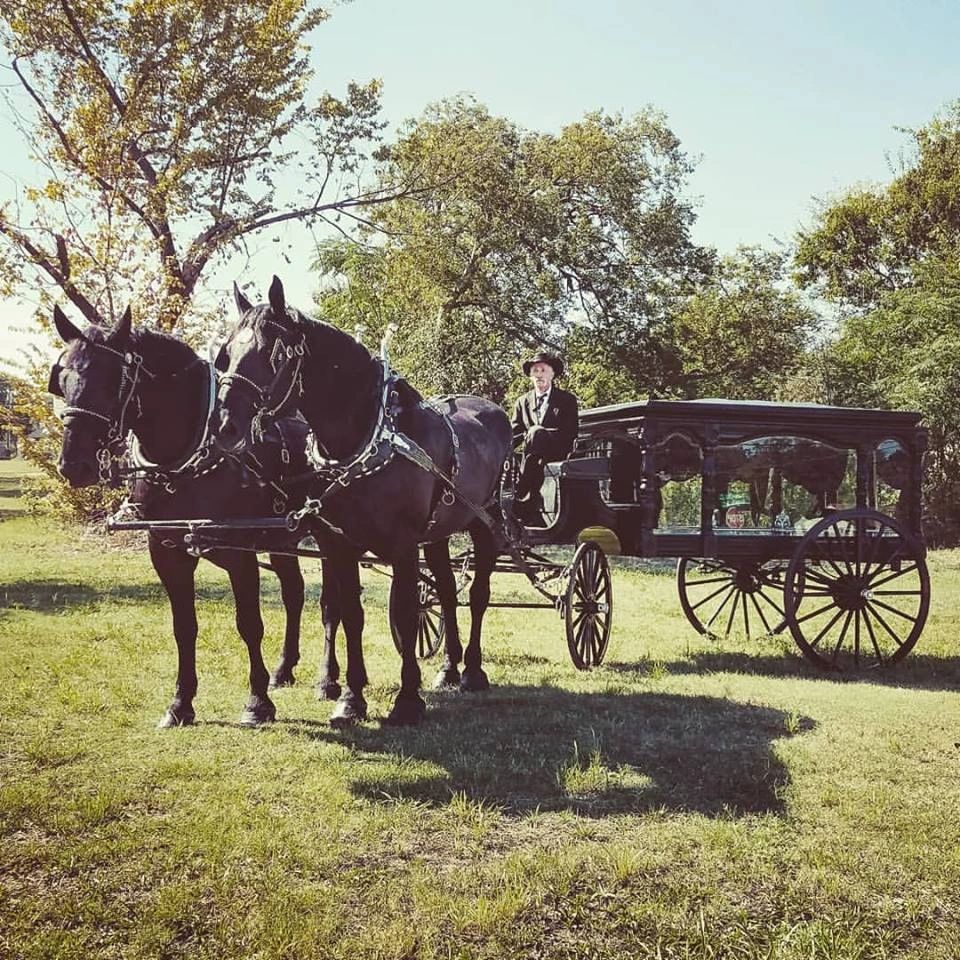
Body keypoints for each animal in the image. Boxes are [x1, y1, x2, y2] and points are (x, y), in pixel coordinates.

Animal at [45, 308, 362, 728]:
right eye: (62, 378)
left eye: (112, 379)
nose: (73, 465)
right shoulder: (167, 553)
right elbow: (184, 627)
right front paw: (180, 704)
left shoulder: (240, 554)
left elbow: (250, 624)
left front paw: (256, 703)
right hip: (282, 539)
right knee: (293, 595)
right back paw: (283, 670)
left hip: (327, 538)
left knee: (330, 606)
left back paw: (327, 680)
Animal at [214, 274, 512, 724]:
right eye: (227, 353)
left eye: (273, 354)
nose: (225, 426)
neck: (367, 439)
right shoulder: (340, 544)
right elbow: (351, 614)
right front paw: (351, 698)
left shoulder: (404, 545)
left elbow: (406, 615)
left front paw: (407, 700)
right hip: (439, 532)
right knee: (446, 590)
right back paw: (448, 668)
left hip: (484, 523)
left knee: (478, 595)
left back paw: (473, 671)